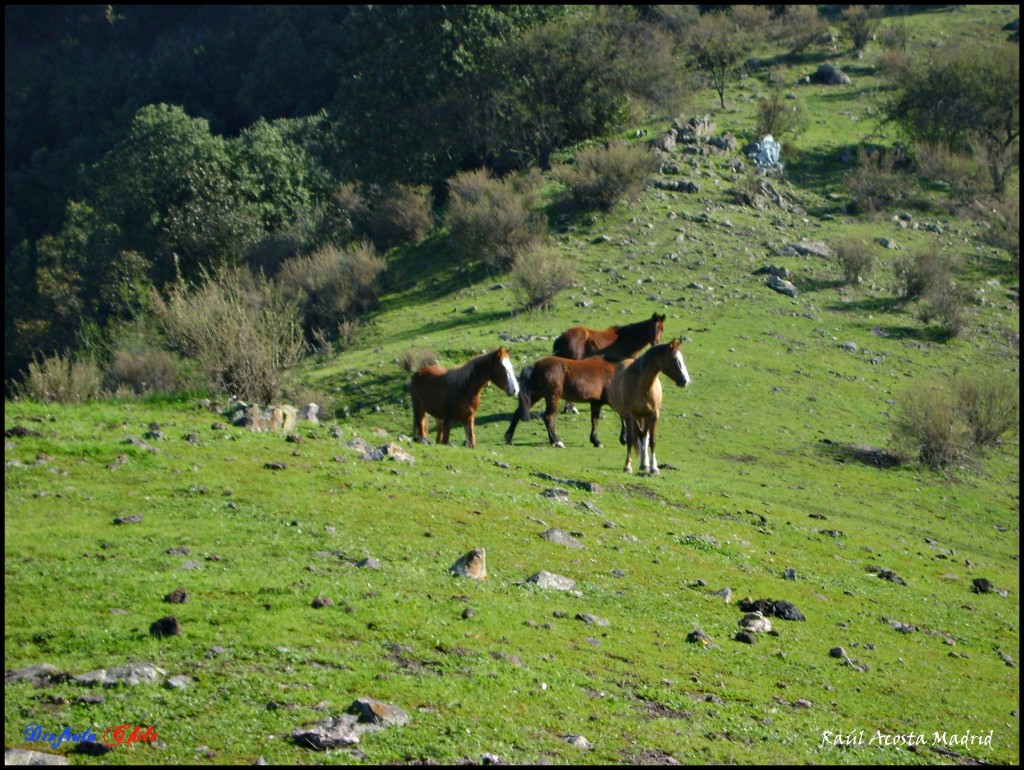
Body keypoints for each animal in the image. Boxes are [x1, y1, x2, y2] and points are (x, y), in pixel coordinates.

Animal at [606, 337, 688, 473]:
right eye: (674, 359)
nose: (685, 380)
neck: (642, 385)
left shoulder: (654, 415)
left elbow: (652, 440)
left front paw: (654, 467)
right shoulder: (630, 416)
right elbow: (631, 439)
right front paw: (628, 466)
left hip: (644, 417)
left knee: (644, 436)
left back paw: (645, 464)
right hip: (634, 417)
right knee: (639, 436)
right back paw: (643, 463)